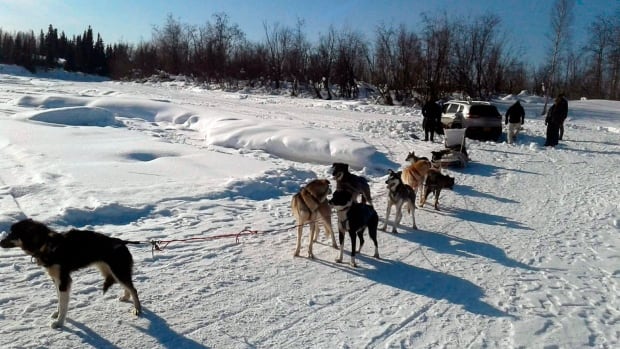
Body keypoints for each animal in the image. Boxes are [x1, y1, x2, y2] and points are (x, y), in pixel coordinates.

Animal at [0, 219, 142, 328]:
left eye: (13, 234)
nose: (0, 242)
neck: (46, 244)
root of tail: (122, 242)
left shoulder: (63, 280)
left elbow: (63, 305)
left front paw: (59, 323)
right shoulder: (56, 280)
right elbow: (59, 300)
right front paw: (57, 314)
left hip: (118, 271)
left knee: (133, 289)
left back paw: (137, 308)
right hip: (112, 271)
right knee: (127, 287)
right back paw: (126, 297)